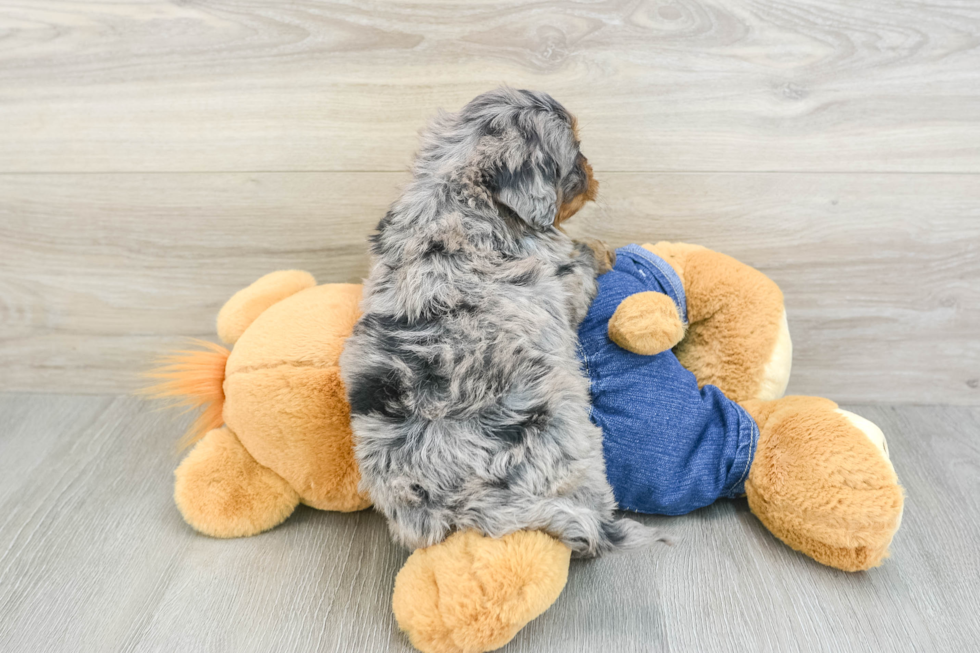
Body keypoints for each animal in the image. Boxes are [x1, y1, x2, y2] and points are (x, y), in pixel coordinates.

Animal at [340, 86, 656, 556]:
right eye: (575, 154)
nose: (593, 173)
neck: (455, 188)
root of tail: (455, 503)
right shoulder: (560, 285)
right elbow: (579, 262)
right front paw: (601, 248)